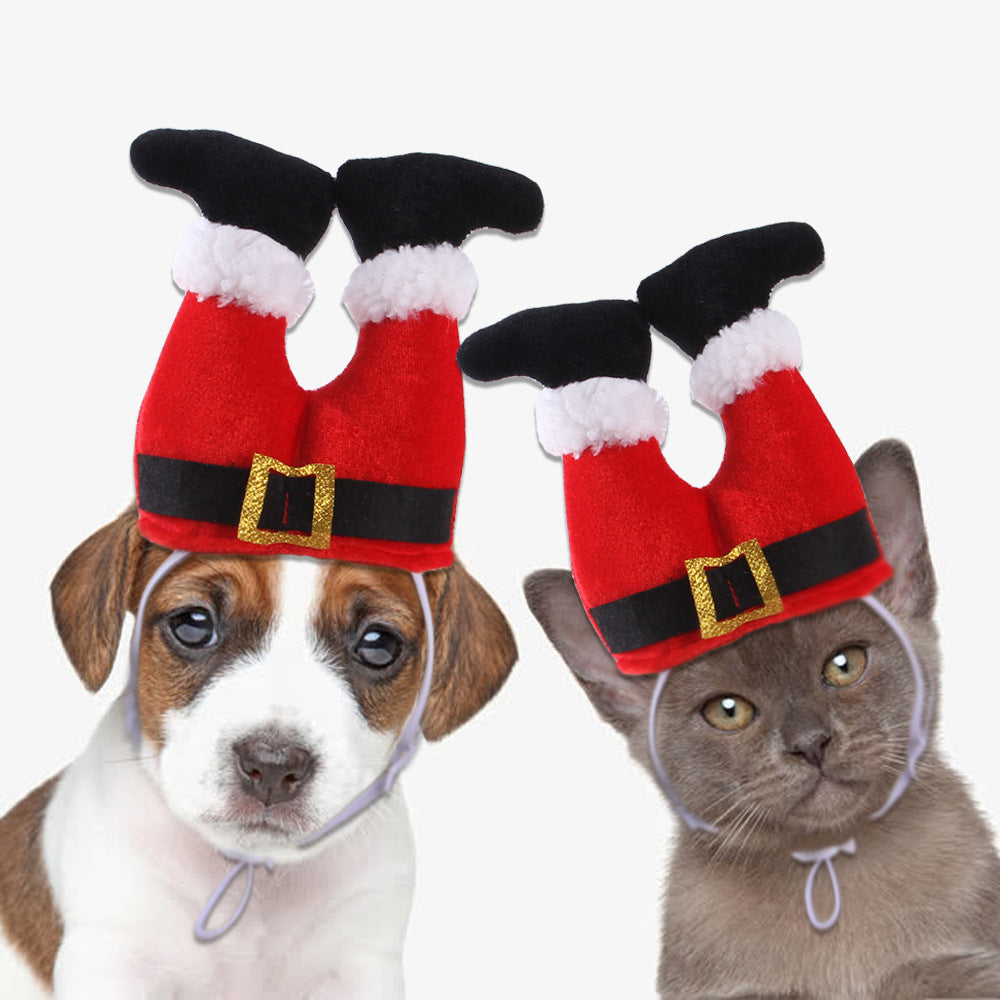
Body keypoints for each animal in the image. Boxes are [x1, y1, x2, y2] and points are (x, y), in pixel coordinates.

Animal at [0, 508, 516, 1000]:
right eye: (194, 624)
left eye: (378, 643)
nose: (272, 766)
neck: (252, 876)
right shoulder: (112, 956)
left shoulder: (361, 965)